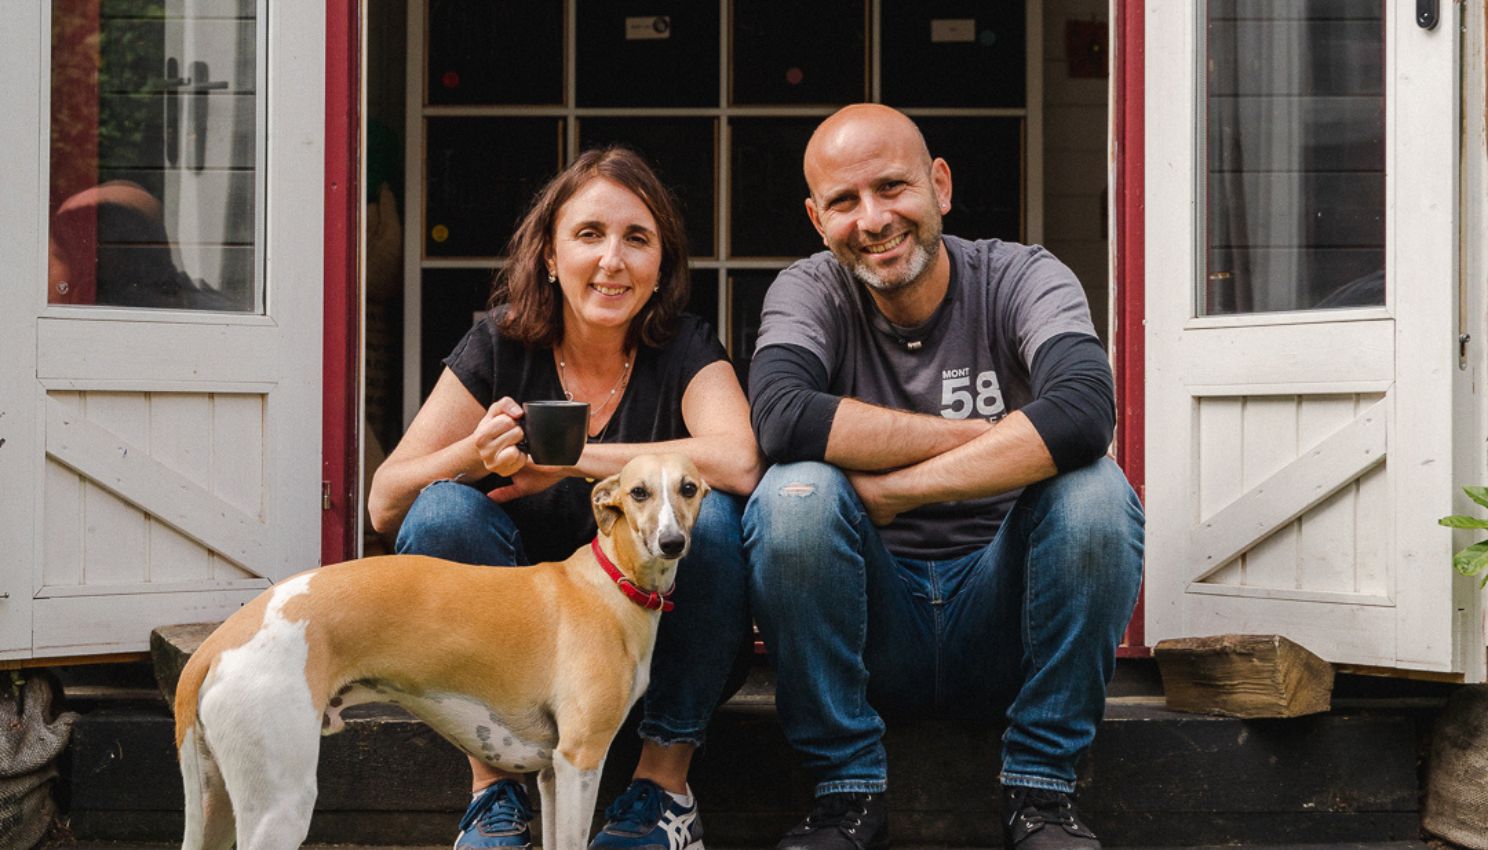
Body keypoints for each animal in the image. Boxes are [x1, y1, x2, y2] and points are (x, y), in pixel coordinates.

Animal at [174, 452, 708, 850]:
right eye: (639, 492)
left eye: (689, 488)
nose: (672, 542)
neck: (609, 583)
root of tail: (216, 643)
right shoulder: (581, 757)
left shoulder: (553, 773)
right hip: (279, 803)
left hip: (218, 806)